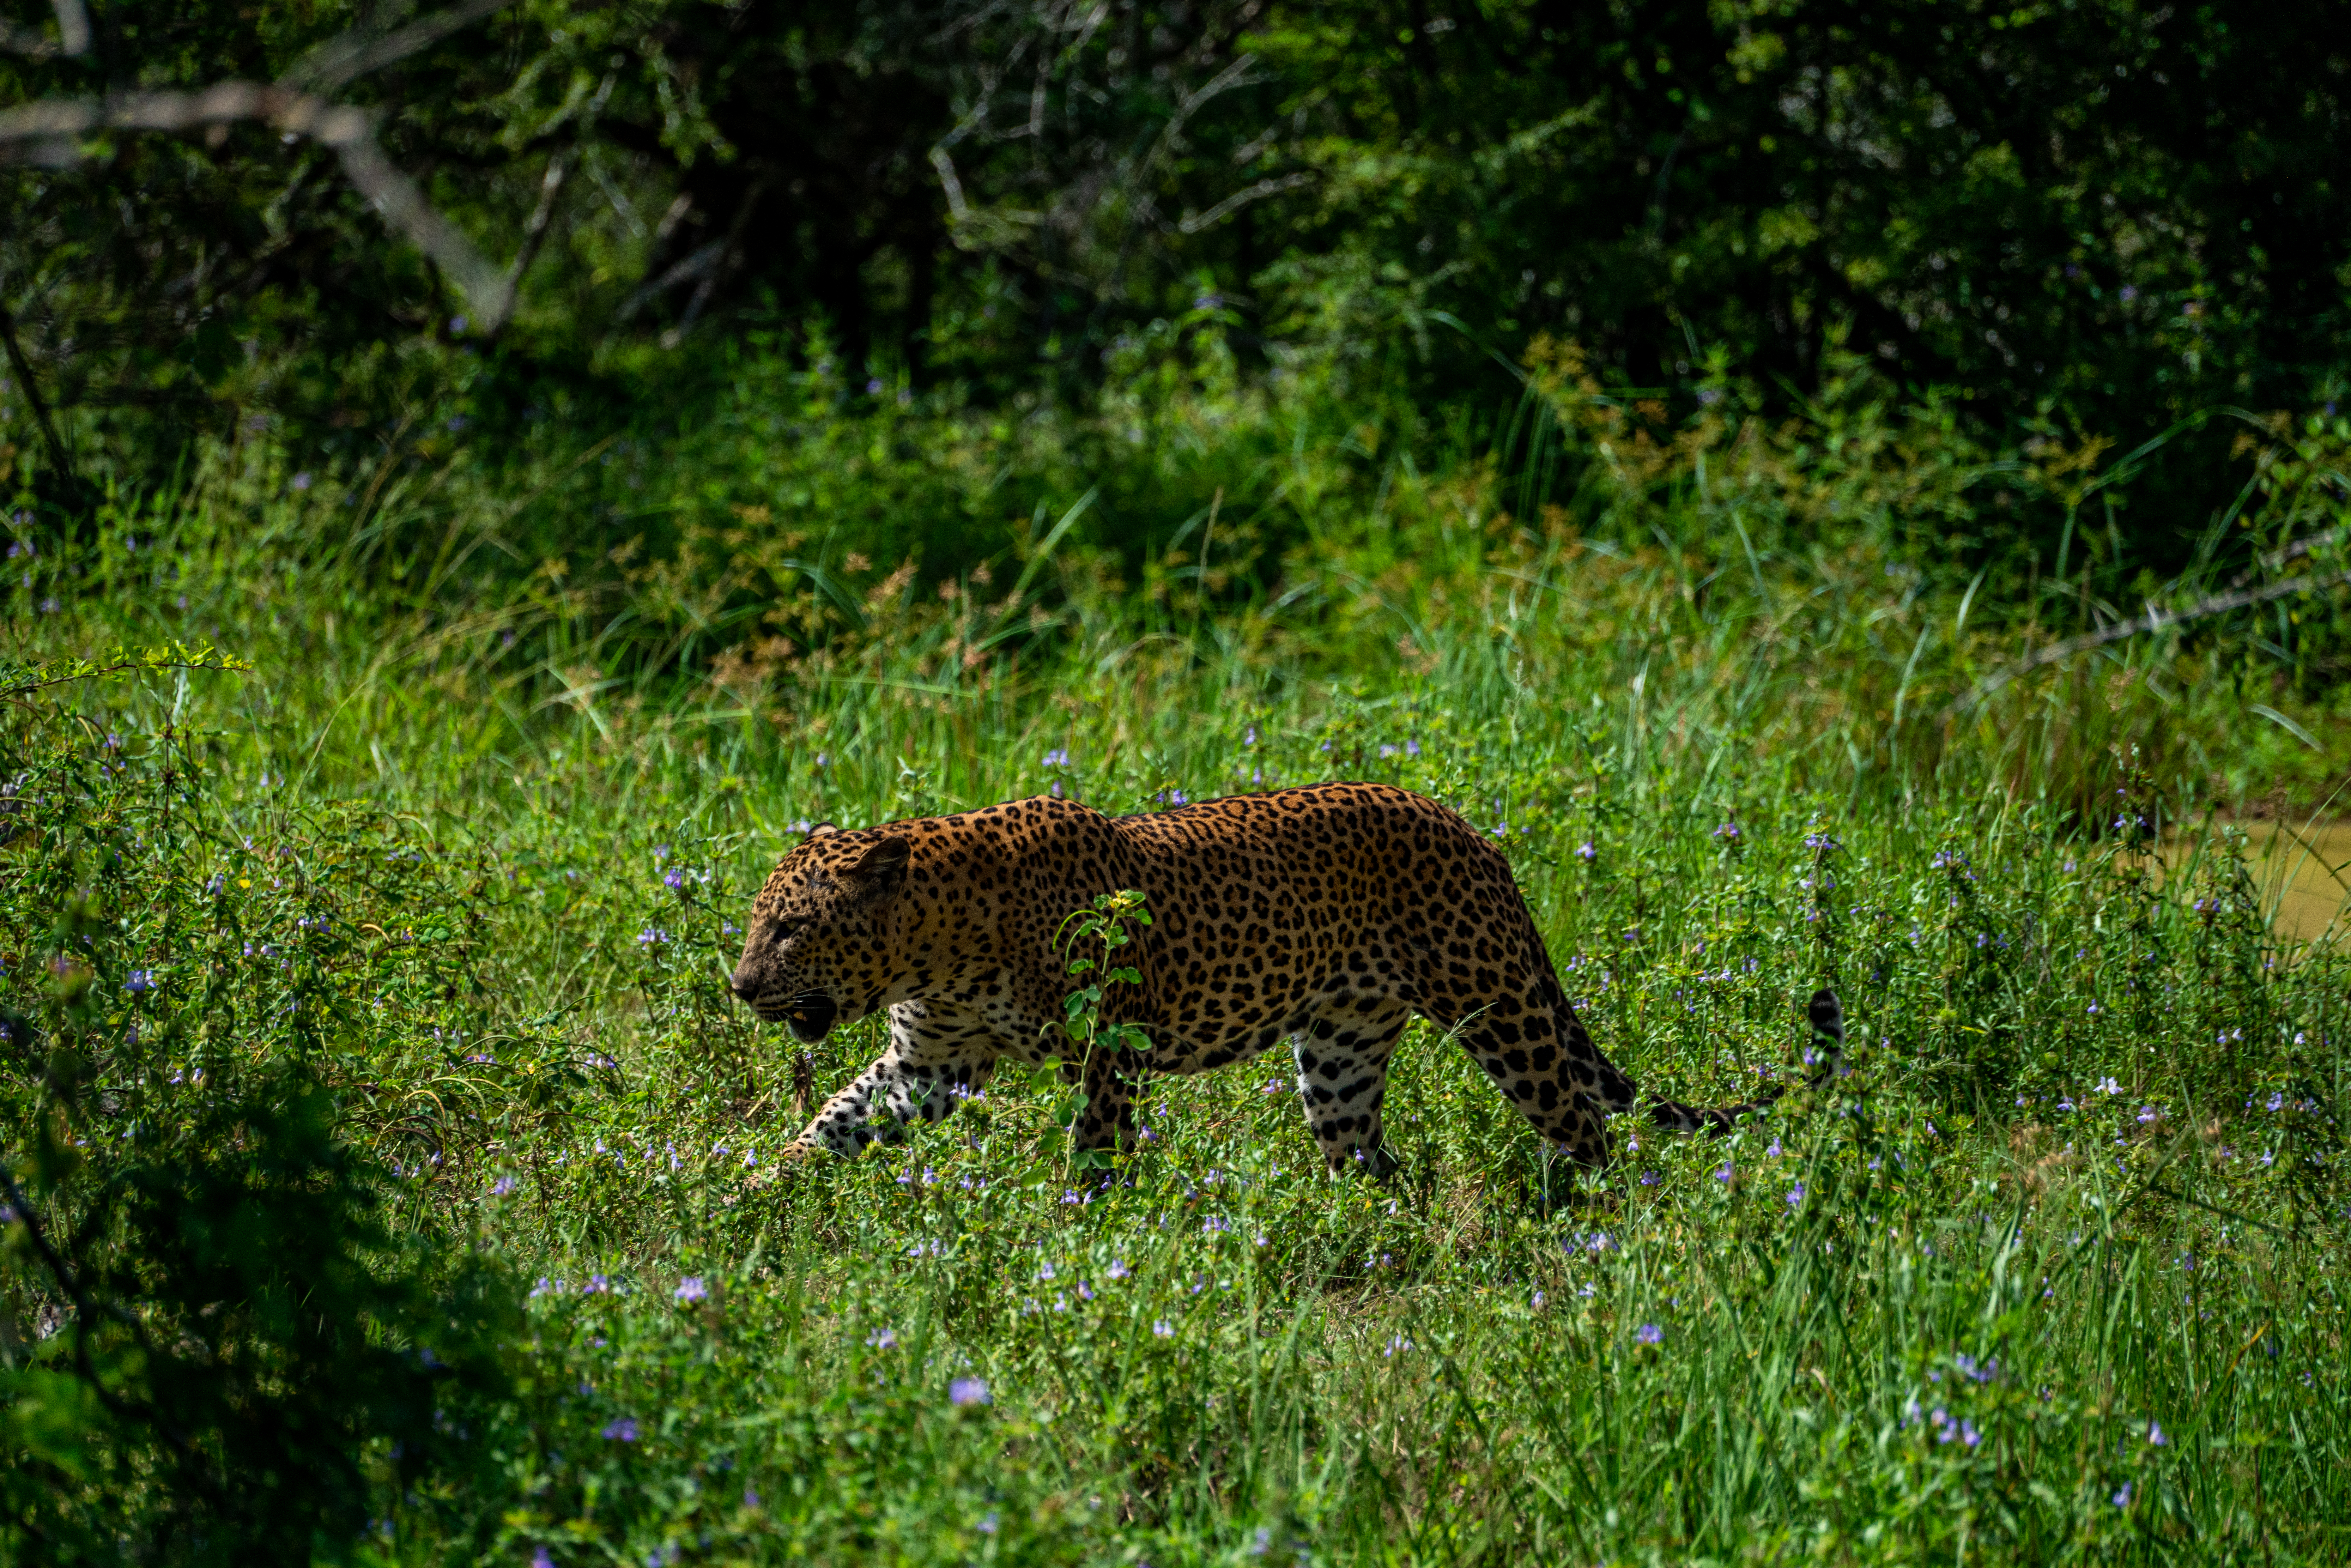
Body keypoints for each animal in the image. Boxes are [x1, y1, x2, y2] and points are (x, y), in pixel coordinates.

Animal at [724, 780, 1843, 1171]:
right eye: (758, 925)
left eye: (790, 928)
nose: (738, 987)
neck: (944, 940)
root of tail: (1472, 831)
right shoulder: (929, 1066)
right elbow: (828, 1123)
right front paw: (751, 1199)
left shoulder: (1106, 1055)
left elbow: (1096, 1157)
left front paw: (1085, 1246)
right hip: (1341, 1048)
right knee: (1371, 1158)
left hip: (1500, 1011)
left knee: (1585, 1125)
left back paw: (1598, 1239)